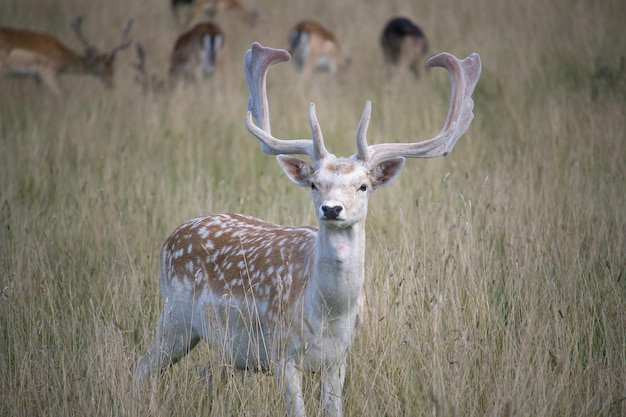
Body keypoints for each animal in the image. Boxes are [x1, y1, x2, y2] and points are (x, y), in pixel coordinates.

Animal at [0, 17, 132, 96]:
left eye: (113, 68)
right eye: (102, 67)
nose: (112, 86)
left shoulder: (36, 77)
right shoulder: (47, 71)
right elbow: (61, 95)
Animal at [132, 43, 480, 416]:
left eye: (363, 186)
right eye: (315, 184)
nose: (332, 208)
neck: (329, 314)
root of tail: (173, 236)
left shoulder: (339, 359)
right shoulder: (282, 351)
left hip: (226, 348)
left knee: (204, 372)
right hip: (176, 317)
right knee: (142, 367)